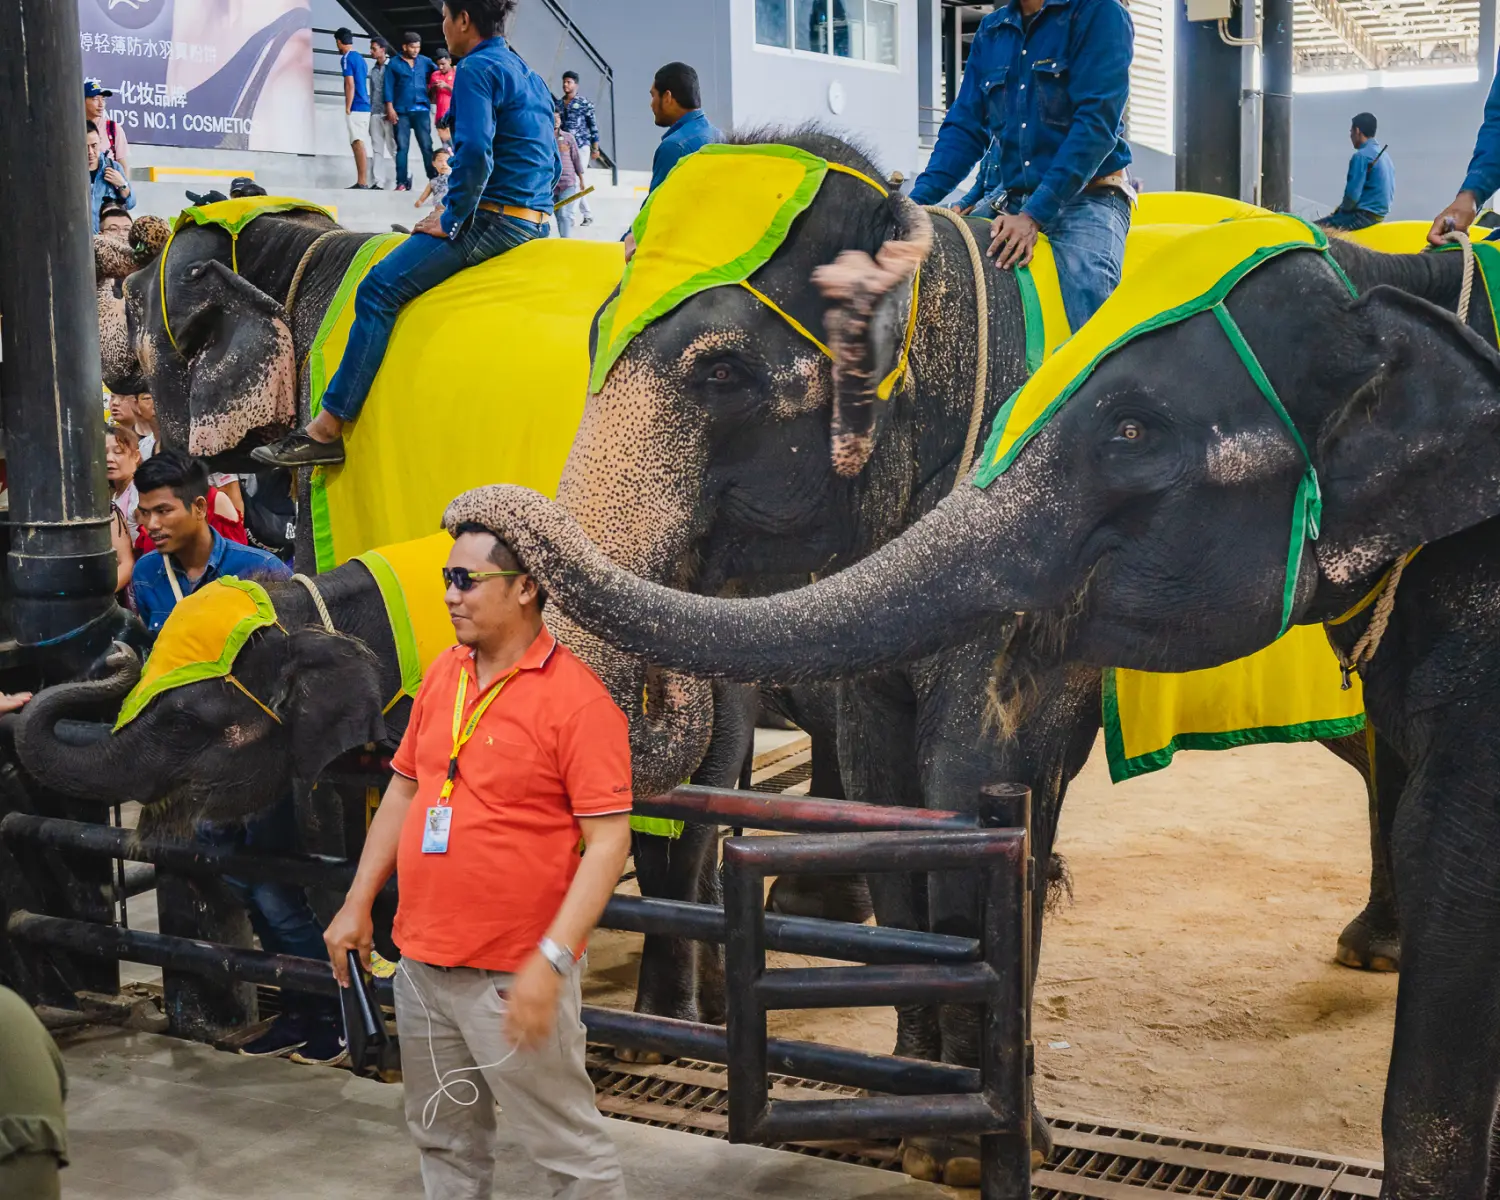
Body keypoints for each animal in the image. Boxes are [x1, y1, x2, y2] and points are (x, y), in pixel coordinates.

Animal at [461, 218, 1500, 1197]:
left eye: (1132, 432)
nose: (469, 521)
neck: (1379, 284)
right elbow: (887, 783)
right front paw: (913, 1131)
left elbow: (979, 775)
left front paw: (965, 1153)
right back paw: (1372, 951)